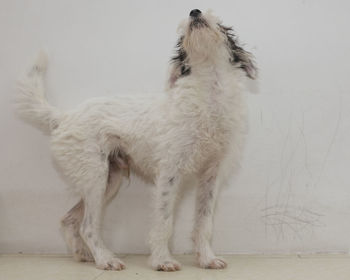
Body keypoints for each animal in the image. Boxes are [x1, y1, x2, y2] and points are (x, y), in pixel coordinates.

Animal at [15, 9, 258, 272]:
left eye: (222, 26)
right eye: (181, 35)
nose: (194, 12)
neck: (209, 95)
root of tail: (64, 116)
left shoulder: (211, 175)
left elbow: (204, 222)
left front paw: (206, 258)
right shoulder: (169, 175)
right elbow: (164, 222)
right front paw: (162, 260)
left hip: (108, 180)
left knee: (69, 219)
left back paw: (83, 254)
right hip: (95, 179)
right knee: (87, 226)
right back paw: (105, 259)